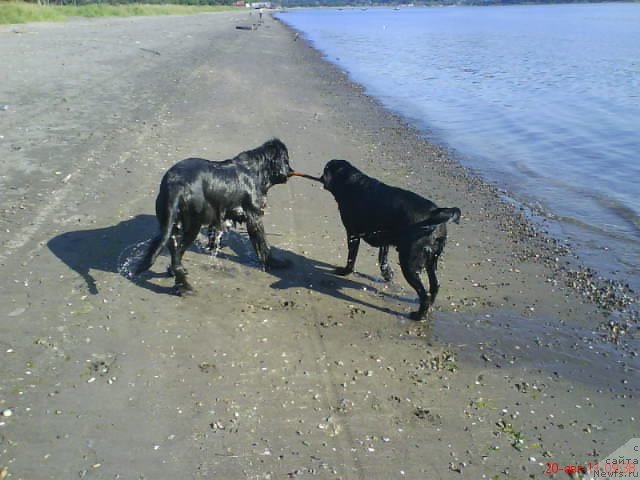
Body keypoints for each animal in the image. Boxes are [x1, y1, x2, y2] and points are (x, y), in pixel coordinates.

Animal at [136, 137, 296, 290]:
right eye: (286, 159)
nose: (290, 171)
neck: (255, 170)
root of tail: (175, 185)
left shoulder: (217, 211)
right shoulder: (254, 216)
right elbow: (263, 243)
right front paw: (275, 262)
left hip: (170, 221)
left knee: (170, 245)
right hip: (193, 224)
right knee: (177, 252)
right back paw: (183, 284)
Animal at [320, 159, 460, 320]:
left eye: (325, 169)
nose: (321, 177)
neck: (351, 183)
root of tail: (435, 212)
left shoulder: (353, 235)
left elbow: (351, 258)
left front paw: (345, 271)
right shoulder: (384, 239)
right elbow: (383, 258)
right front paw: (387, 274)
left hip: (409, 263)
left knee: (424, 295)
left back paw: (418, 315)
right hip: (431, 262)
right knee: (435, 287)